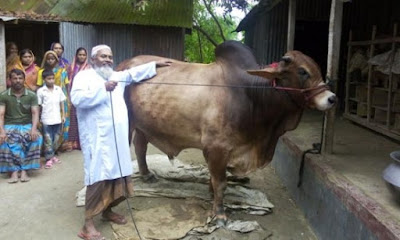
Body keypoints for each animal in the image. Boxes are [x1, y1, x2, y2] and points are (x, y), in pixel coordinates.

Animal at [117, 40, 336, 223]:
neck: (251, 95)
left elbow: (214, 180)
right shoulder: (217, 148)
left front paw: (211, 195)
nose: (332, 98)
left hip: (143, 124)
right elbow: (221, 182)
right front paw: (220, 214)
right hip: (128, 123)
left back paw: (146, 175)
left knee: (140, 146)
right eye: (302, 71)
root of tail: (123, 64)